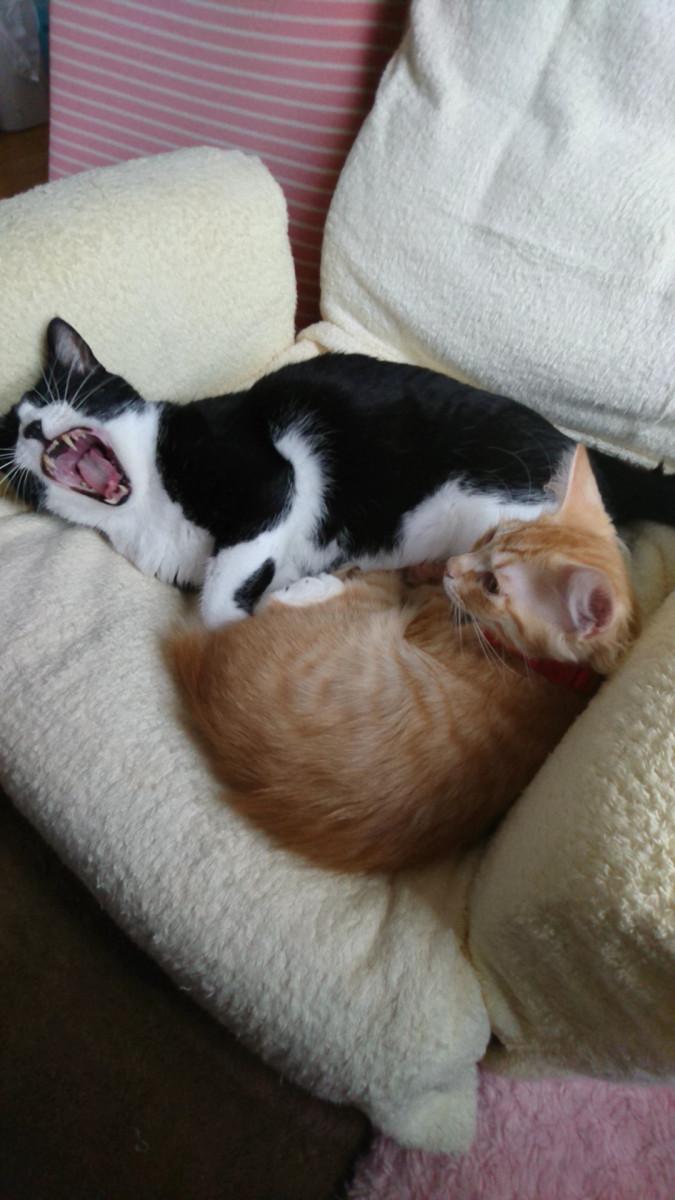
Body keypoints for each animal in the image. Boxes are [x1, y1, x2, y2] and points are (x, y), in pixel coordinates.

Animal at [1, 317, 671, 627]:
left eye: (59, 391)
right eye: (7, 436)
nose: (30, 430)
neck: (142, 504)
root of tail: (577, 445)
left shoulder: (264, 474)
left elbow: (219, 600)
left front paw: (271, 611)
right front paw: (300, 591)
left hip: (507, 506)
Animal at [167, 446, 639, 873]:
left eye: (491, 585)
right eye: (489, 537)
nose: (453, 565)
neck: (552, 673)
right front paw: (430, 567)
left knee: (292, 596)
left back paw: (313, 584)